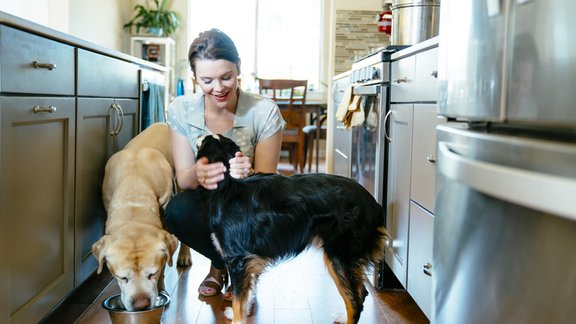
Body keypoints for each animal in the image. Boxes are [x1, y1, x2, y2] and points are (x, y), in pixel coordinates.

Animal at [196, 133, 390, 322]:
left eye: (205, 141)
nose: (199, 134)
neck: (228, 184)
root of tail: (374, 204)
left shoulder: (238, 260)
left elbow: (238, 302)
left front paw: (236, 318)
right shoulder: (248, 261)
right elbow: (246, 295)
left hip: (338, 256)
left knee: (354, 302)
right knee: (361, 293)